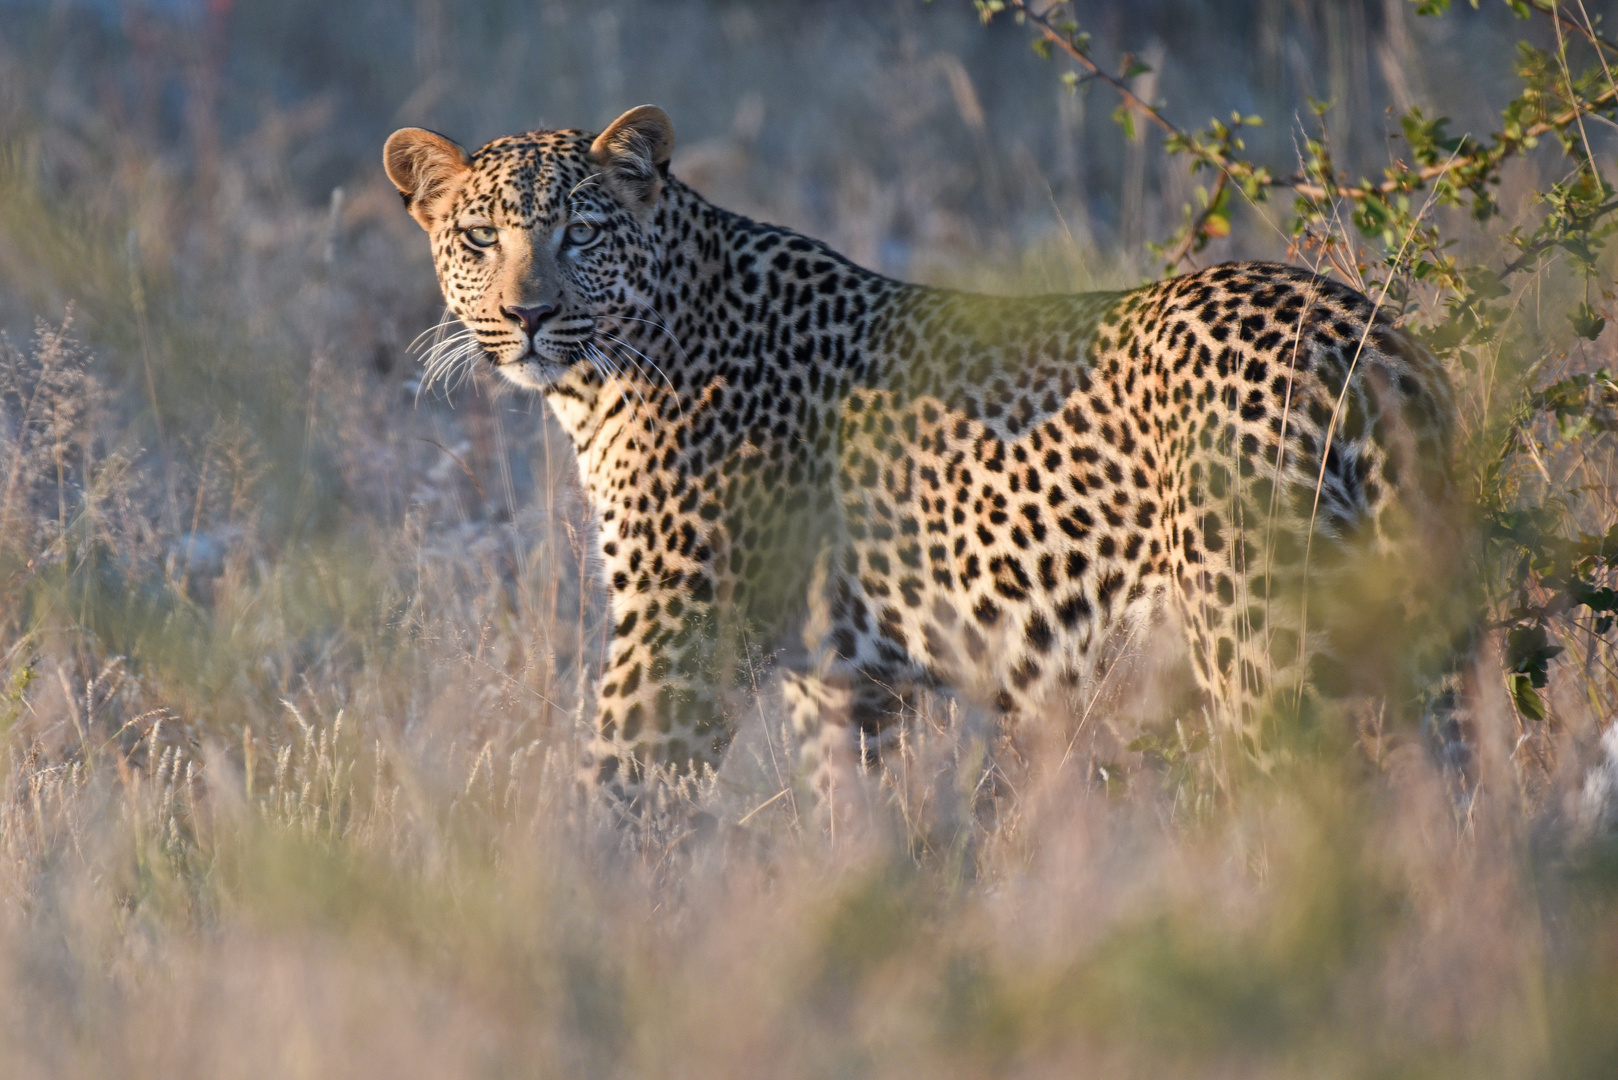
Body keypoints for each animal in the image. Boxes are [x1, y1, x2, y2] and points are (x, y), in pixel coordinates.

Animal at [388, 105, 1469, 809]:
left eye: (581, 234)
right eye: (477, 237)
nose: (526, 314)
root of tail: (1364, 335)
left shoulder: (677, 634)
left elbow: (617, 799)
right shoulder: (849, 687)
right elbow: (853, 829)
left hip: (1260, 636)